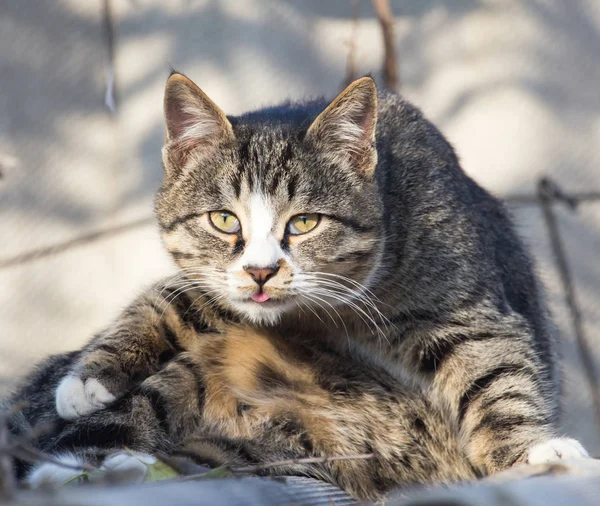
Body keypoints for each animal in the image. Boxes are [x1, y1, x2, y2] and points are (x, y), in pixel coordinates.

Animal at [4, 73, 588, 500]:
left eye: (304, 223)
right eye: (224, 220)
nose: (262, 271)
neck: (331, 313)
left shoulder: (464, 302)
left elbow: (495, 371)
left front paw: (532, 453)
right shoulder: (222, 290)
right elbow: (170, 298)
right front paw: (91, 377)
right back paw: (88, 468)